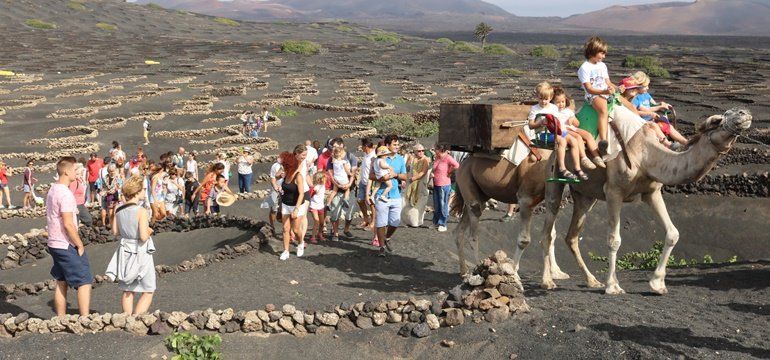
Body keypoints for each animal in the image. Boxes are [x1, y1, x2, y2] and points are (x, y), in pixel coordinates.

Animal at [536, 107, 752, 296]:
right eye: (718, 119)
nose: (745, 113)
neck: (646, 154)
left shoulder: (652, 192)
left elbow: (673, 233)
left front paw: (658, 284)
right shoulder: (614, 192)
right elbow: (614, 240)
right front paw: (613, 286)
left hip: (586, 196)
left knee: (571, 236)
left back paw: (591, 280)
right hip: (554, 180)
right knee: (548, 230)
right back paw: (548, 281)